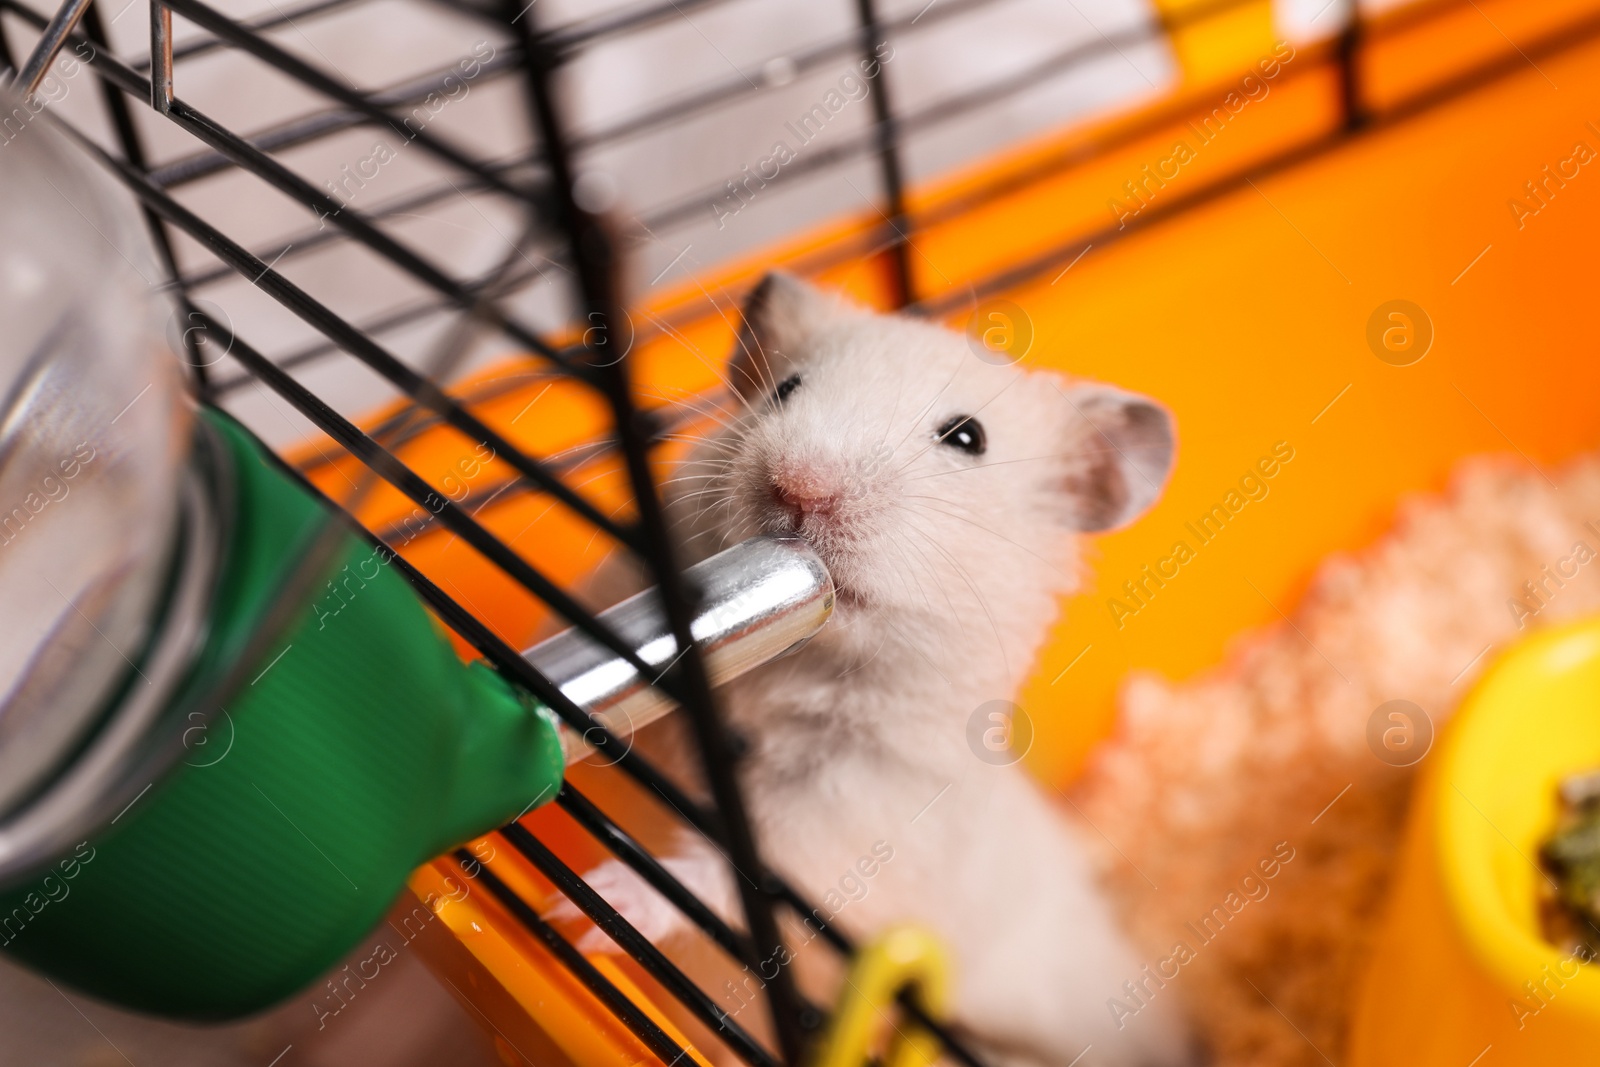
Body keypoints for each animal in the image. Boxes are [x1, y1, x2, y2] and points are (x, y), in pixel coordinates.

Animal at [556, 275, 1196, 1067]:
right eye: (786, 387)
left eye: (967, 437)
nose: (799, 486)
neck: (804, 659)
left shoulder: (853, 812)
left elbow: (743, 875)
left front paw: (594, 904)